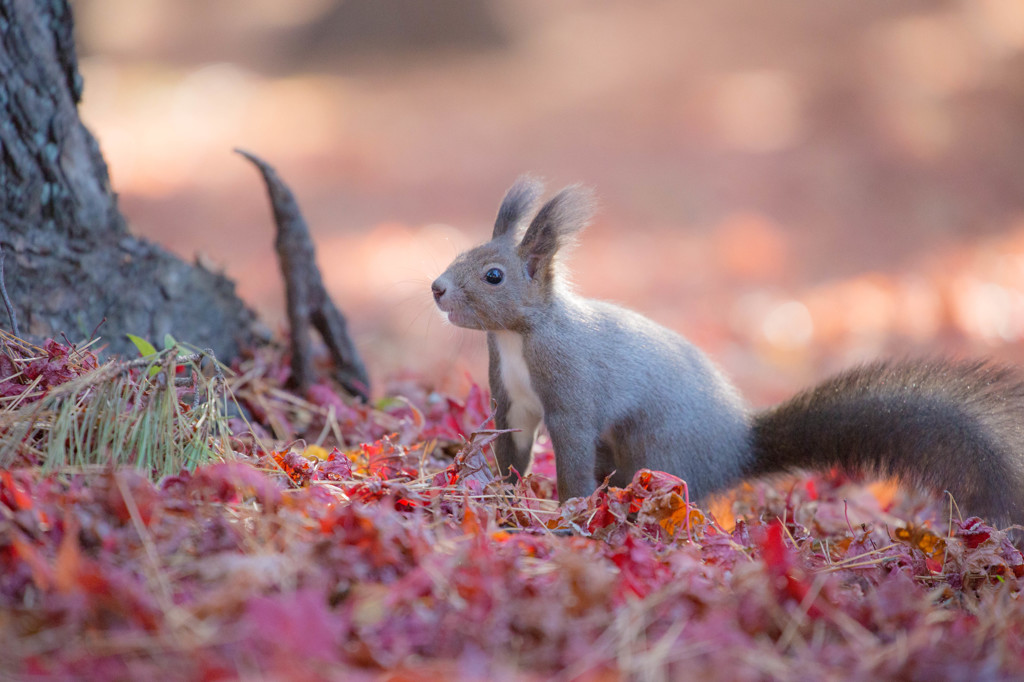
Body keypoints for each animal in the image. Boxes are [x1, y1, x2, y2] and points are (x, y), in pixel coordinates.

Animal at [430, 175, 1024, 524]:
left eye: (493, 275)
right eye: (461, 254)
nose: (436, 288)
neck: (520, 336)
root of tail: (737, 448)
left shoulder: (570, 395)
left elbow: (571, 454)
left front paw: (566, 512)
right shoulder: (511, 400)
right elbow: (513, 448)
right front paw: (505, 494)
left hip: (658, 450)